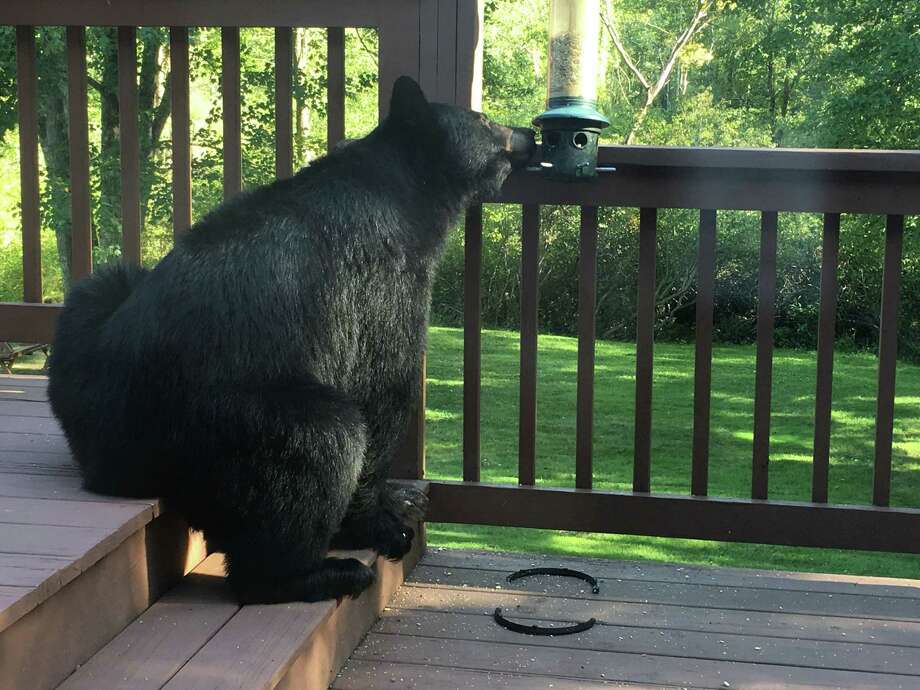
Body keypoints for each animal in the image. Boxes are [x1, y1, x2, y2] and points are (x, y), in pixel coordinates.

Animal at [50, 76, 536, 600]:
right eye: (484, 119)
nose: (528, 133)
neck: (404, 195)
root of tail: (107, 456)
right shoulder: (385, 285)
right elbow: (383, 390)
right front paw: (378, 523)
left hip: (89, 324)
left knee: (104, 284)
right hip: (224, 416)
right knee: (326, 438)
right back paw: (315, 572)